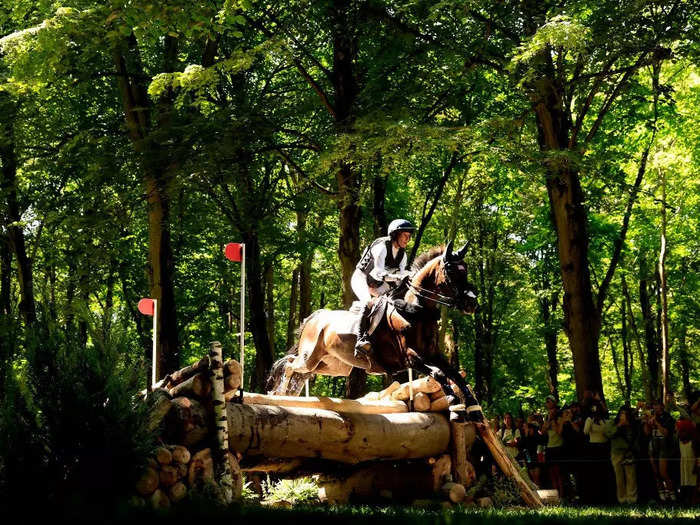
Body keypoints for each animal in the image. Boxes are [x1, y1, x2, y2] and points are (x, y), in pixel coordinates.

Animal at [266, 239, 484, 420]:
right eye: (452, 271)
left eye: (466, 270)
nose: (472, 303)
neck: (416, 310)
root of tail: (314, 317)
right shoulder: (409, 357)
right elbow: (439, 374)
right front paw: (455, 407)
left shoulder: (432, 354)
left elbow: (455, 374)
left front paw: (473, 408)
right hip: (309, 357)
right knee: (290, 365)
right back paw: (279, 395)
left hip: (333, 366)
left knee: (301, 374)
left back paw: (287, 395)